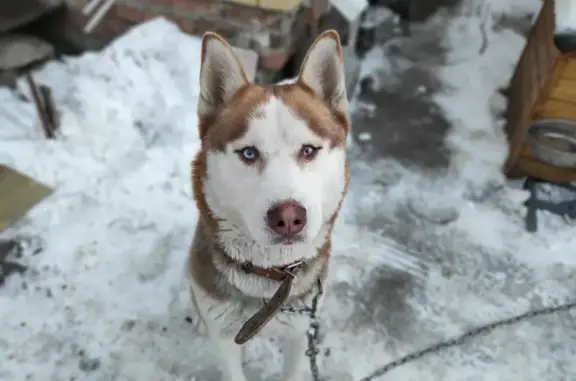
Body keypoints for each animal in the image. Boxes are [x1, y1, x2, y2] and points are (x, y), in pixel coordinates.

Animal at [189, 30, 352, 380]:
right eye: (249, 153)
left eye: (308, 150)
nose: (289, 218)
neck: (269, 281)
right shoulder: (224, 335)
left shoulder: (300, 332)